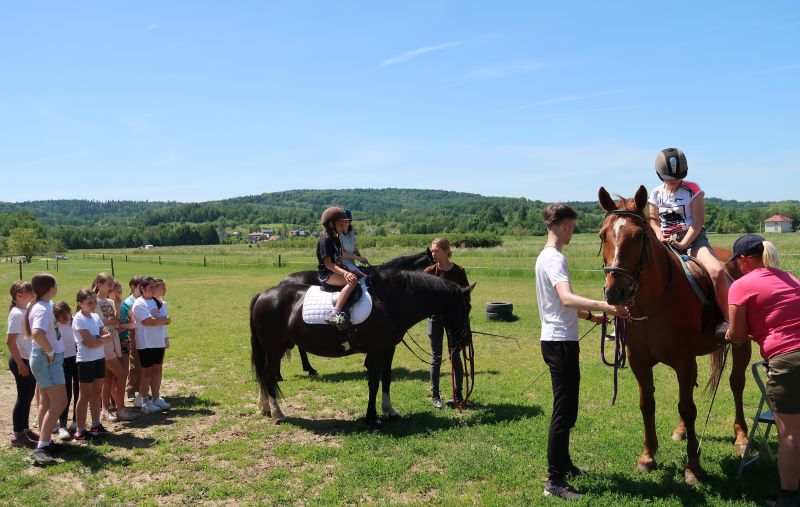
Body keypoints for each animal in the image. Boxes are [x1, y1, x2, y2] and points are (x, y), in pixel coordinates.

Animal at [250, 268, 474, 425]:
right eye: (467, 307)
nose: (466, 341)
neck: (388, 301)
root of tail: (263, 295)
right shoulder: (375, 352)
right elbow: (373, 383)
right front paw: (372, 417)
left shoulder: (388, 349)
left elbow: (386, 379)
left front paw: (390, 411)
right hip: (274, 348)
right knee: (268, 375)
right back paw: (278, 413)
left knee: (262, 374)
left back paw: (265, 408)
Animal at [598, 185, 751, 484]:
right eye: (602, 234)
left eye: (639, 236)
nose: (615, 292)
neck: (654, 300)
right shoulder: (639, 361)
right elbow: (648, 404)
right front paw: (647, 456)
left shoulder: (683, 360)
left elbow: (688, 408)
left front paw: (693, 466)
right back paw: (680, 431)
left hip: (741, 346)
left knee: (736, 384)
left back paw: (741, 436)